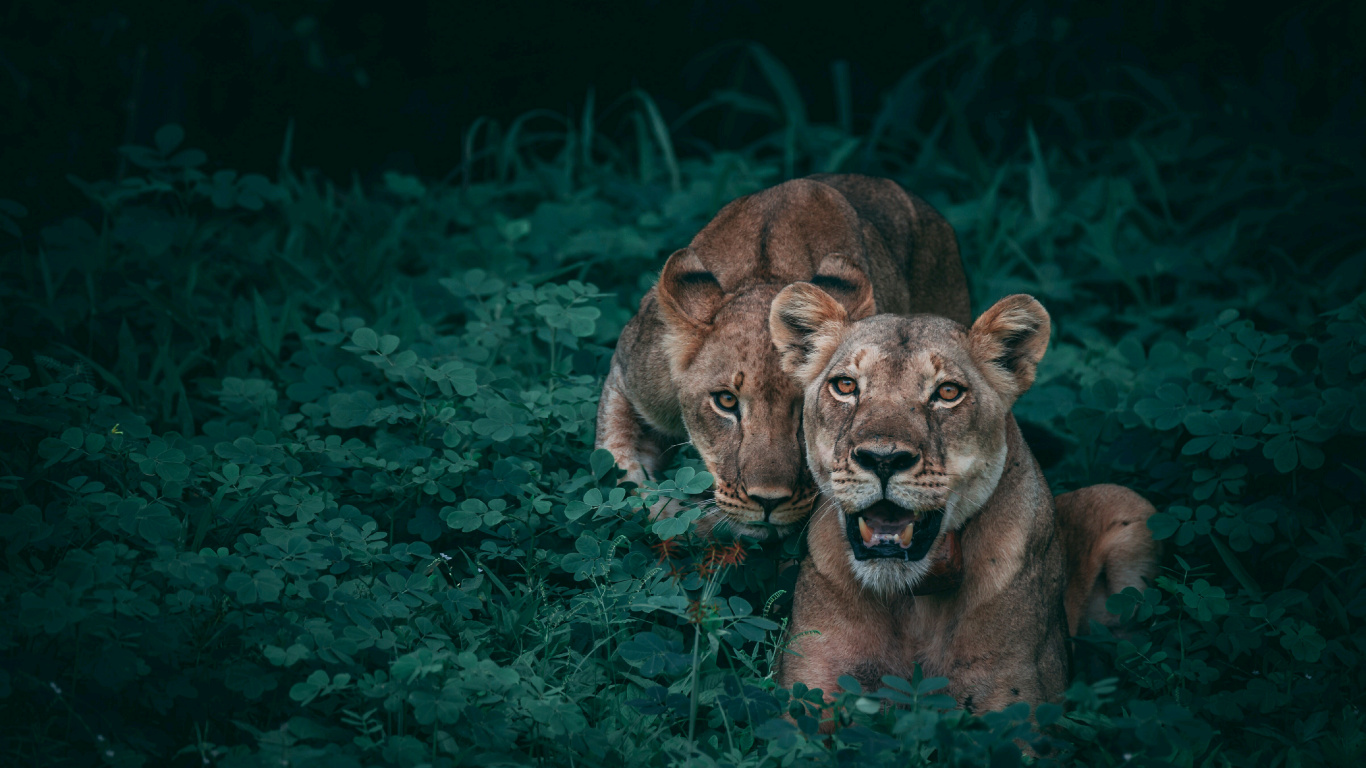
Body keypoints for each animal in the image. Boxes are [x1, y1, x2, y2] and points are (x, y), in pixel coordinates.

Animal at [768, 285, 1158, 719]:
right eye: (846, 386)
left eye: (948, 393)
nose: (883, 459)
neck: (911, 604)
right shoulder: (807, 688)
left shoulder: (1019, 705)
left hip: (1127, 502)